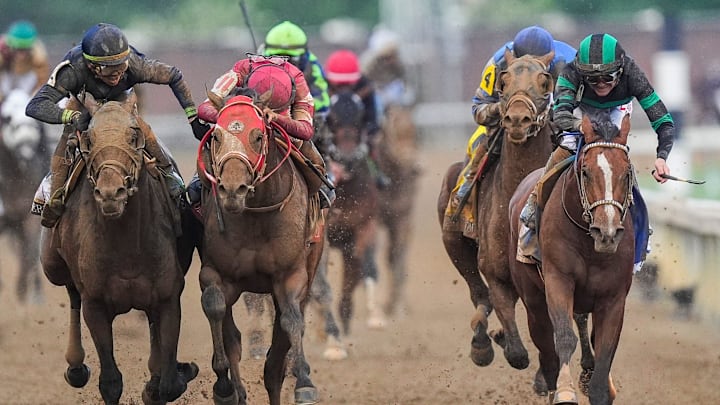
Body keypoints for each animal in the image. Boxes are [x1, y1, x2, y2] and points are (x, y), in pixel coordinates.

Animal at [39, 92, 198, 404]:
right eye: (89, 139)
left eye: (134, 134)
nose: (111, 193)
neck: (127, 248)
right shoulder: (96, 304)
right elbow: (111, 382)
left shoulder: (167, 298)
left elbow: (169, 384)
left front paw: (174, 373)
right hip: (52, 264)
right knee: (72, 293)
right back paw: (76, 366)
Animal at [197, 90, 324, 405]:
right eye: (216, 135)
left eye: (257, 136)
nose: (232, 190)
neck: (255, 216)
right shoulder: (214, 273)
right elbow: (215, 307)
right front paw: (224, 387)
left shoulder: (291, 276)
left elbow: (292, 322)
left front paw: (304, 383)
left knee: (278, 352)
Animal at [437, 51, 556, 370]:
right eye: (503, 80)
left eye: (544, 81)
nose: (517, 119)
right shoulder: (497, 274)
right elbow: (516, 352)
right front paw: (495, 340)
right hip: (453, 232)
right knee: (479, 294)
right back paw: (482, 341)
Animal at [508, 114, 635, 404]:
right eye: (585, 171)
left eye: (627, 173)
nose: (607, 232)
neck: (591, 247)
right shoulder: (559, 278)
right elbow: (564, 336)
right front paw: (565, 391)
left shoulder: (614, 297)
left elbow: (605, 347)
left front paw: (599, 390)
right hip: (533, 298)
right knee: (545, 343)